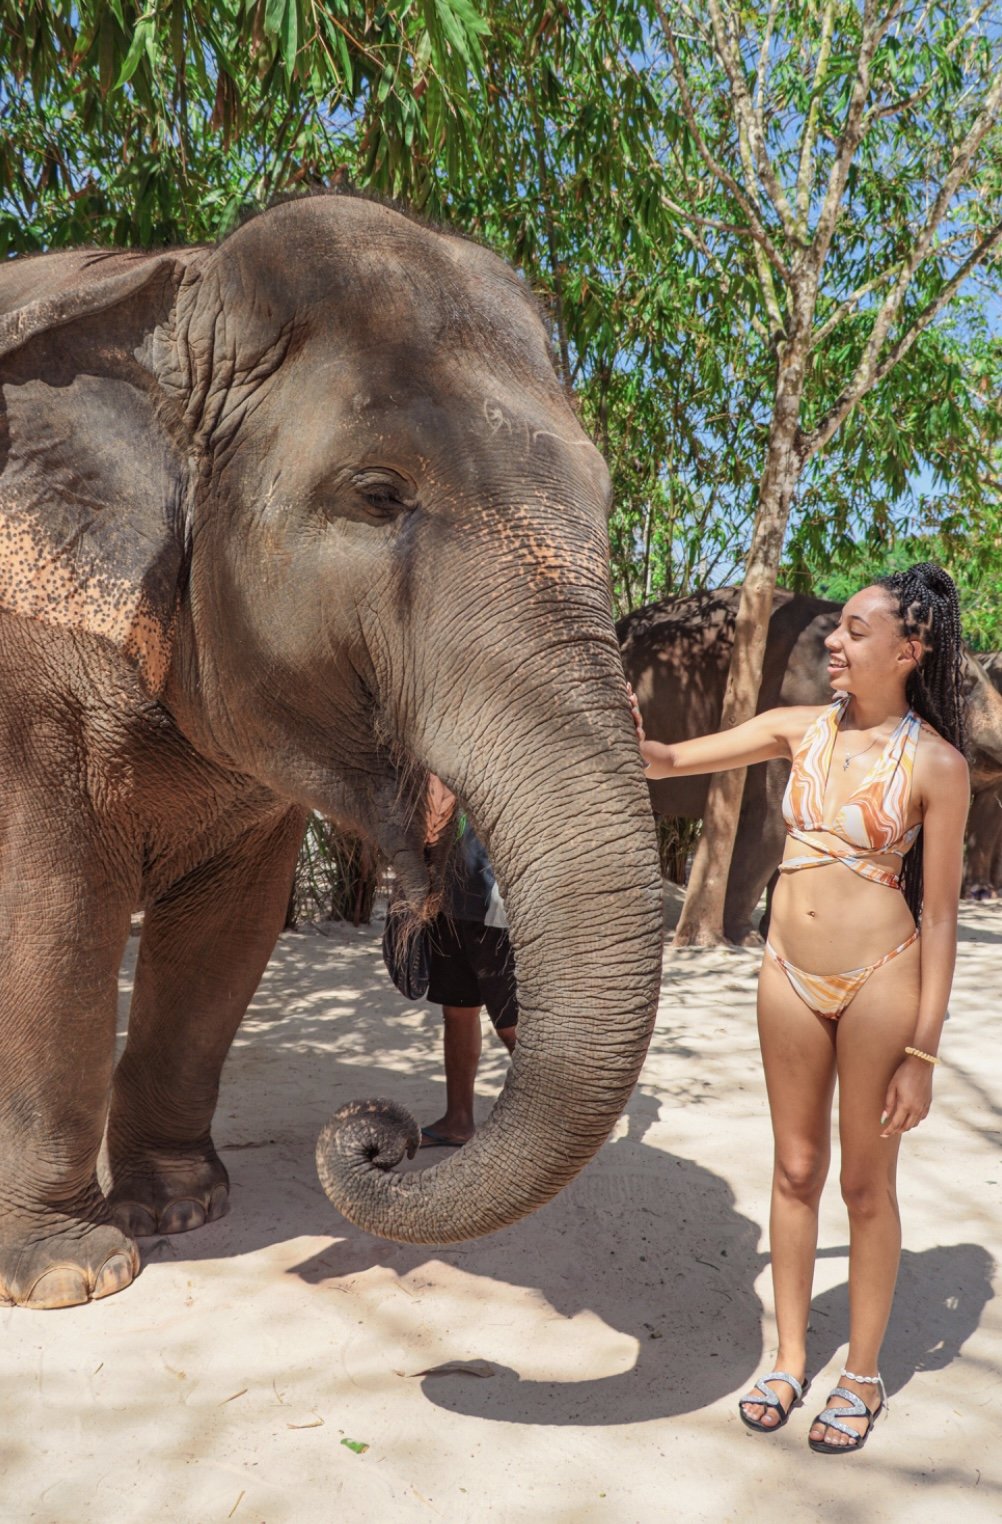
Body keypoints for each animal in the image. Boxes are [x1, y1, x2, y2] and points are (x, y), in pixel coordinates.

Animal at [0, 191, 663, 1310]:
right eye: (378, 492)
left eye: (607, 495)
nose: (378, 1136)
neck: (169, 287)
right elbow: (51, 919)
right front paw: (72, 1275)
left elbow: (227, 933)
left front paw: (184, 1212)